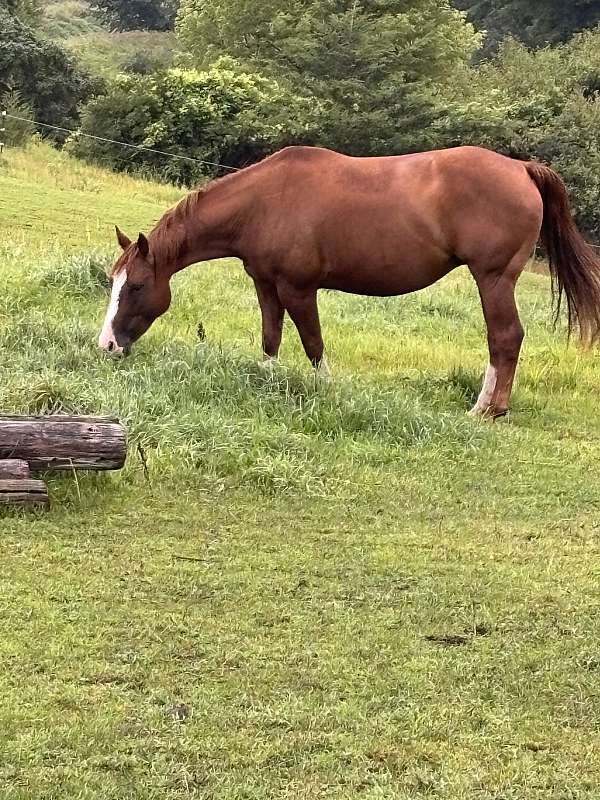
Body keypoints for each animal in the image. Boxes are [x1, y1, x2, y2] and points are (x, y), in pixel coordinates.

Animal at [98, 145, 600, 417]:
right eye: (112, 282)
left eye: (136, 286)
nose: (107, 345)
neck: (264, 201)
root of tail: (521, 168)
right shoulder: (266, 285)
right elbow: (270, 338)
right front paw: (266, 381)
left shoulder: (299, 289)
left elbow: (314, 345)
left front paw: (322, 391)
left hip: (493, 279)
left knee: (505, 338)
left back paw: (487, 408)